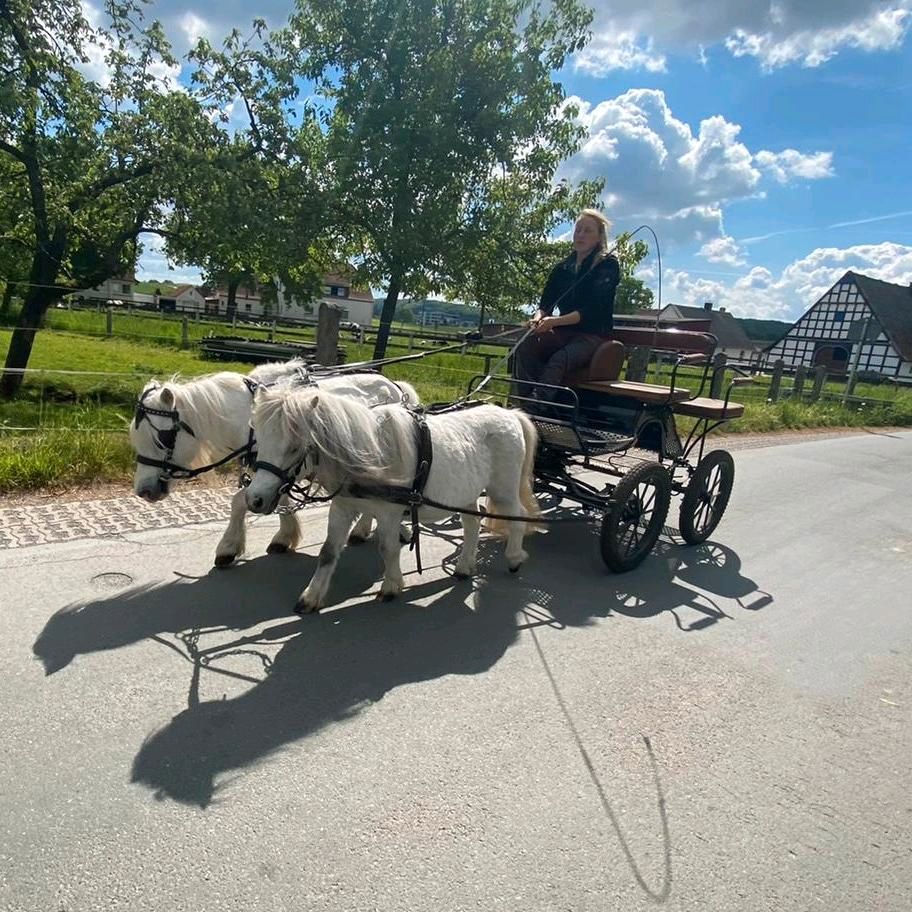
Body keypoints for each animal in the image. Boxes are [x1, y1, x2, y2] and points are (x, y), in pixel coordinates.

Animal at [129, 362, 420, 564]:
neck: (250, 417)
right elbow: (277, 498)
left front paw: (228, 548)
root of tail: (394, 384)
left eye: (161, 439)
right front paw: (284, 536)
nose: (143, 491)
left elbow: (240, 501)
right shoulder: (272, 470)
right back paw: (362, 530)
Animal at [246, 384, 536, 612]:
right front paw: (311, 596)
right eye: (259, 440)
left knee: (516, 516)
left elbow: (388, 548)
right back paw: (465, 567)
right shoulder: (342, 506)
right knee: (472, 524)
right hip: (464, 492)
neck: (369, 454)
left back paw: (513, 557)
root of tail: (509, 413)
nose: (254, 499)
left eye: (294, 447)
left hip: (503, 489)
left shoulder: (389, 512)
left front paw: (391, 585)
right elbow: (328, 551)